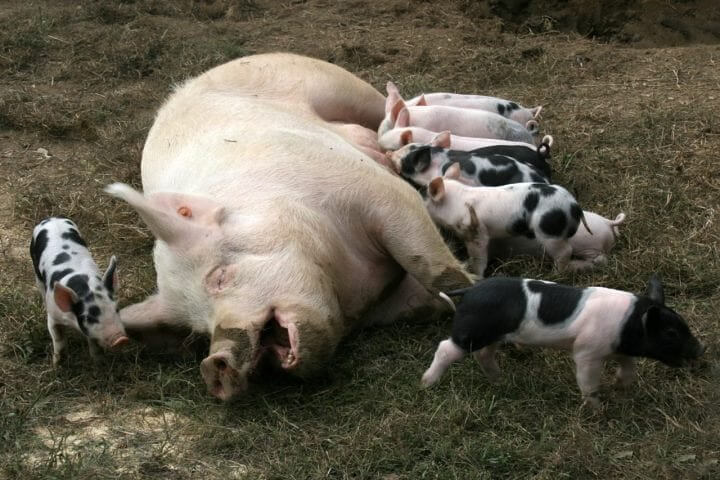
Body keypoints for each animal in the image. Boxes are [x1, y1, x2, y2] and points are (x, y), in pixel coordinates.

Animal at [30, 217, 128, 365]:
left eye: (116, 309)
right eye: (88, 317)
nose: (120, 339)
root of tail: (51, 218)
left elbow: (94, 344)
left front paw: (99, 362)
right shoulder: (53, 316)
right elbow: (58, 340)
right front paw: (57, 364)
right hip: (35, 266)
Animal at [107, 53, 472, 401]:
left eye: (219, 277)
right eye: (201, 329)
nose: (212, 366)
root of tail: (186, 85)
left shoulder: (371, 189)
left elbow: (427, 262)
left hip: (338, 84)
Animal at [421, 275, 705, 407]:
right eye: (670, 333)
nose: (701, 349)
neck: (629, 323)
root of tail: (469, 290)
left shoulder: (619, 349)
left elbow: (629, 368)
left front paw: (620, 387)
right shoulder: (586, 352)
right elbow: (587, 381)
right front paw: (597, 409)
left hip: (493, 333)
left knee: (484, 355)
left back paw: (500, 381)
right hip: (471, 331)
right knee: (445, 348)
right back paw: (426, 383)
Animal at [423, 176, 589, 276]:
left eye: (424, 195)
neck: (454, 203)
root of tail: (575, 206)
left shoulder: (477, 232)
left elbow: (479, 256)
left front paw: (476, 274)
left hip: (550, 233)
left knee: (566, 251)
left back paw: (554, 274)